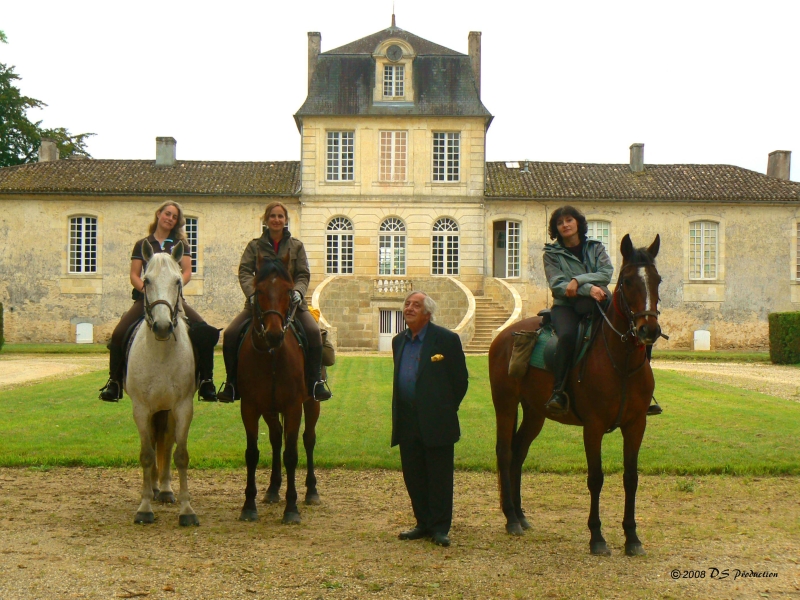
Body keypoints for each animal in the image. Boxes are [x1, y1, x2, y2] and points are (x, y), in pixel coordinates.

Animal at [126, 239, 200, 524]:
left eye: (178, 281)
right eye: (146, 280)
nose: (162, 326)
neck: (160, 353)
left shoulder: (183, 407)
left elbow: (180, 455)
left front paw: (187, 510)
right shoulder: (141, 409)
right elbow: (147, 455)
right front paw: (145, 507)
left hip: (167, 409)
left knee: (166, 443)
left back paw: (166, 490)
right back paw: (155, 489)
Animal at [238, 253, 322, 524]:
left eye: (288, 290)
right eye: (259, 290)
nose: (274, 334)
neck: (272, 354)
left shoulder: (294, 406)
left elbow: (292, 455)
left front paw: (291, 508)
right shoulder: (250, 407)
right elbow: (252, 453)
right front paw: (249, 505)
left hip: (312, 402)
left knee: (308, 439)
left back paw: (312, 491)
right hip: (269, 409)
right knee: (276, 438)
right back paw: (273, 489)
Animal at [488, 232, 664, 556]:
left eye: (657, 279)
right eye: (627, 281)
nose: (649, 330)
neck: (621, 362)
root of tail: (505, 334)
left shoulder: (636, 425)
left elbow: (631, 478)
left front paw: (632, 537)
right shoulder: (592, 428)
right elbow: (595, 478)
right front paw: (597, 537)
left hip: (535, 413)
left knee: (519, 452)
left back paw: (520, 514)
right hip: (505, 405)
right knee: (505, 453)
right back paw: (510, 518)